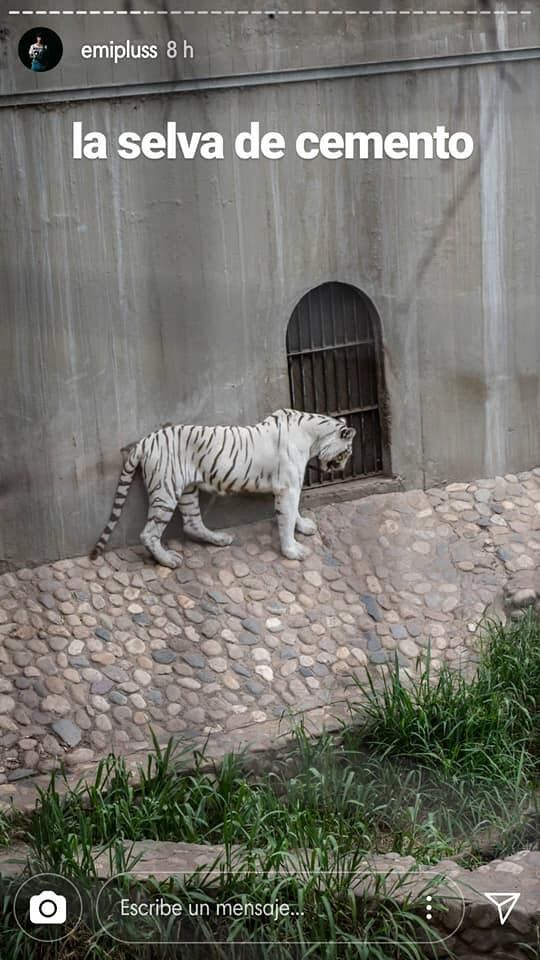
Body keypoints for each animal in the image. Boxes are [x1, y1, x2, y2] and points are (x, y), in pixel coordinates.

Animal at [90, 406, 354, 568]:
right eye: (346, 453)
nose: (342, 468)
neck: (313, 436)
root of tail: (144, 441)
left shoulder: (290, 486)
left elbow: (293, 512)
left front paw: (304, 527)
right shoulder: (288, 486)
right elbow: (286, 518)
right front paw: (293, 552)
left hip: (187, 490)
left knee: (192, 523)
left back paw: (219, 539)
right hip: (165, 491)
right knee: (149, 533)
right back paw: (168, 560)